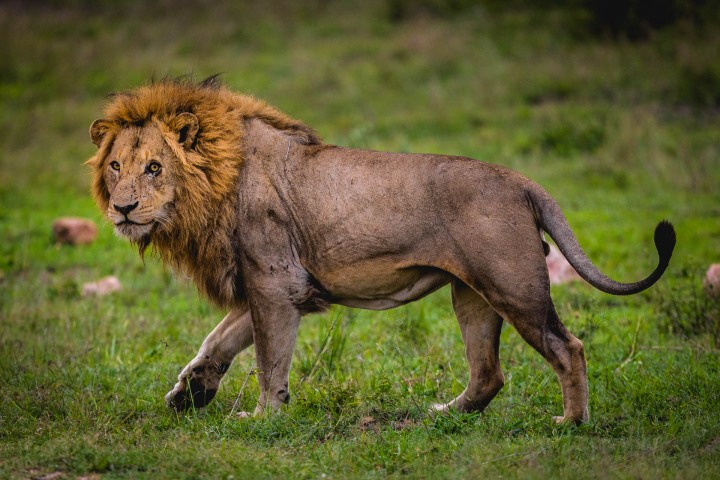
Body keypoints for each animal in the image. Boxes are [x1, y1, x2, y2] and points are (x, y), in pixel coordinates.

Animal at [87, 76, 675, 424]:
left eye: (154, 167)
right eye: (115, 166)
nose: (123, 208)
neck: (212, 184)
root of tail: (522, 181)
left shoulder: (276, 283)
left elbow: (268, 359)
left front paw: (262, 417)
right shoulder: (270, 284)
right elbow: (220, 340)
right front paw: (190, 393)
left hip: (513, 285)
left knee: (567, 347)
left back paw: (570, 422)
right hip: (473, 295)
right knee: (489, 373)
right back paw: (446, 412)